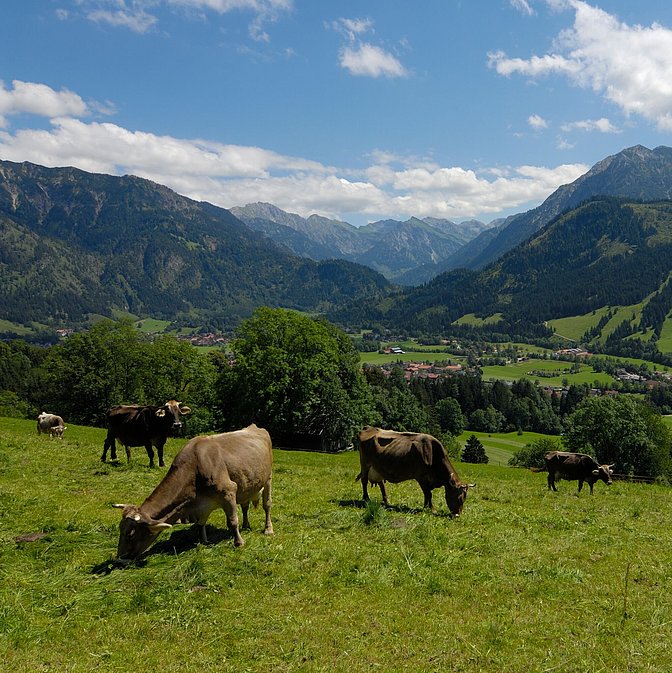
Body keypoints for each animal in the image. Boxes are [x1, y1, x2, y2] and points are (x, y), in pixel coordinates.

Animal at [113, 424, 273, 562]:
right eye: (120, 529)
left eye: (130, 534)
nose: (120, 558)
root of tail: (255, 427)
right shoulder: (202, 504)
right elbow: (200, 524)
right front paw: (203, 541)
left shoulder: (228, 492)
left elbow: (232, 521)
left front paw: (239, 542)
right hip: (247, 485)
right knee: (245, 506)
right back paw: (246, 526)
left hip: (268, 479)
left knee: (267, 505)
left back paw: (268, 529)